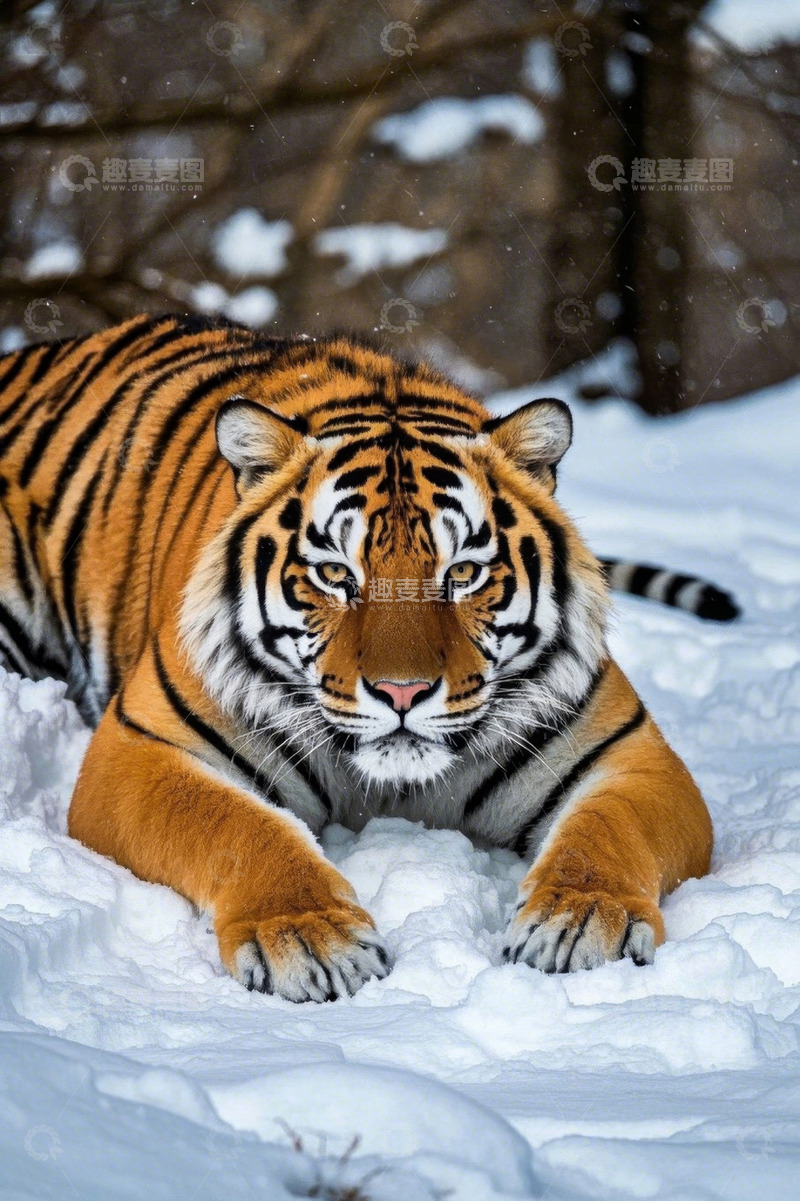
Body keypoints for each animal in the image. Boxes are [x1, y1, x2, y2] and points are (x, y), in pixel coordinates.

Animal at [0, 313, 737, 1001]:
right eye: (335, 573)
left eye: (463, 572)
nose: (402, 692)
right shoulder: (139, 747)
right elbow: (237, 825)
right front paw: (309, 937)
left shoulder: (631, 753)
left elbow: (606, 830)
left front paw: (582, 921)